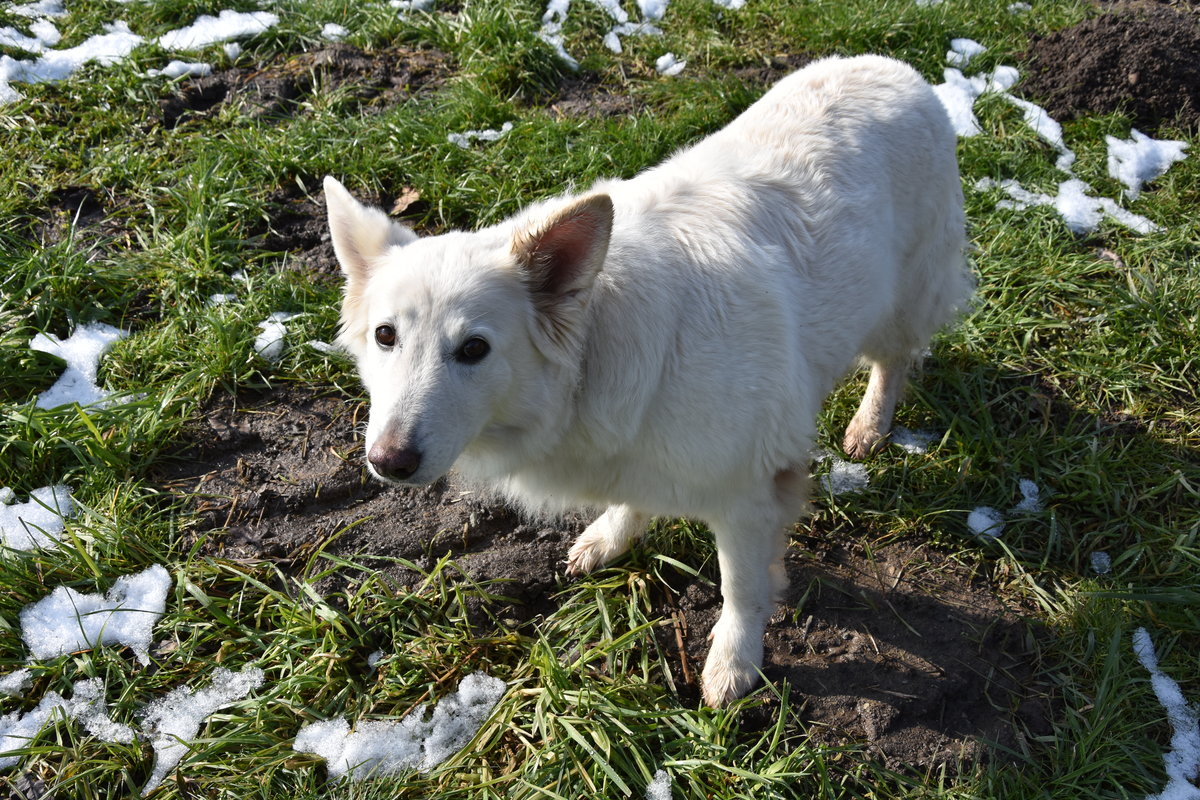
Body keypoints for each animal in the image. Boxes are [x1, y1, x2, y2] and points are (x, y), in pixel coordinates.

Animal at [324, 54, 969, 705]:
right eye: (385, 336)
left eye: (474, 349)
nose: (387, 462)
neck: (592, 355)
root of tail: (893, 68)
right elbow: (633, 497)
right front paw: (612, 535)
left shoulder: (748, 494)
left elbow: (741, 588)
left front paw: (734, 663)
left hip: (902, 301)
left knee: (894, 361)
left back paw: (869, 426)